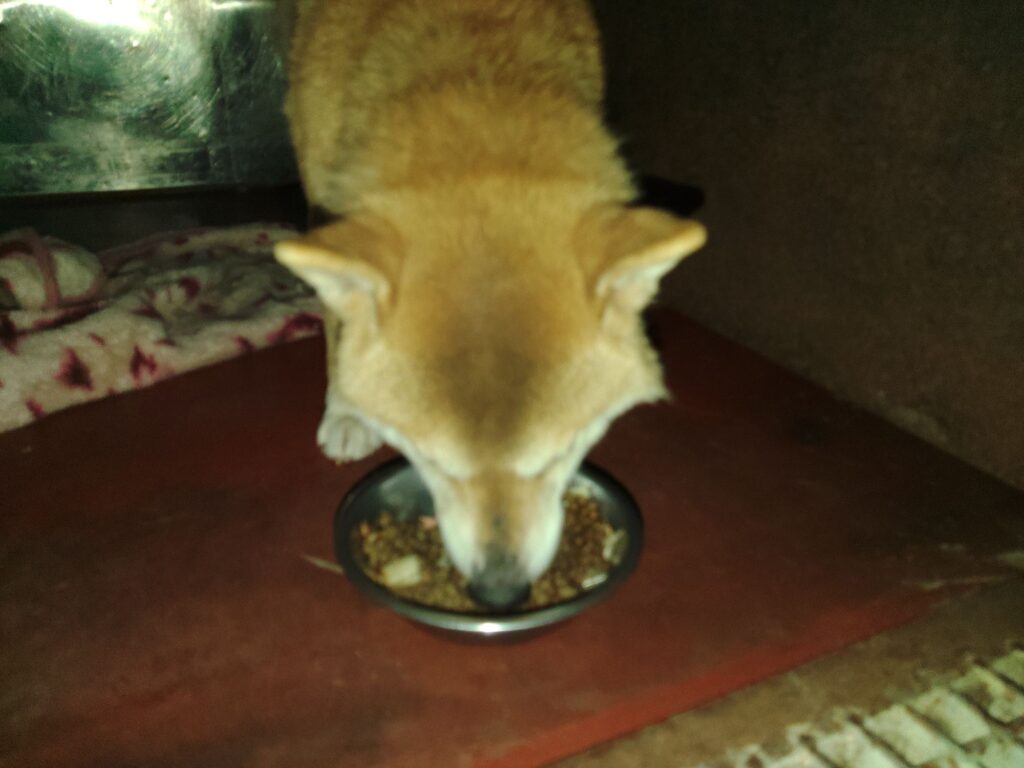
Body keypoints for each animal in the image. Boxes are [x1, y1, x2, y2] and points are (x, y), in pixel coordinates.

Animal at [275, 0, 707, 608]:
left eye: (560, 453)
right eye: (432, 460)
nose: (499, 591)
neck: (475, 78)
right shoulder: (327, 207)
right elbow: (339, 324)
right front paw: (347, 409)